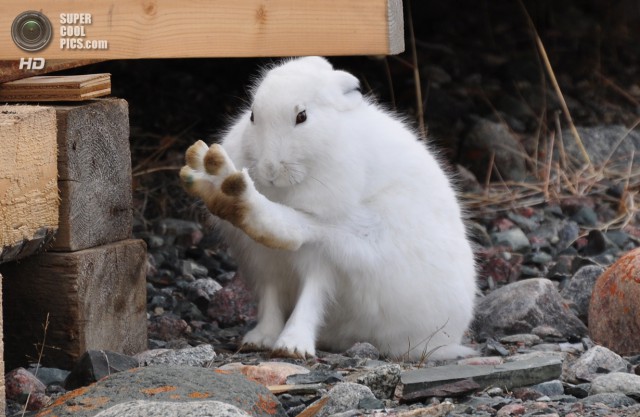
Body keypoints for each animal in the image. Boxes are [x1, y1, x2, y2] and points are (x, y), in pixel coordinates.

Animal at [180, 56, 477, 360]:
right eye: (252, 116)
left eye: (302, 116)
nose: (269, 169)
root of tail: (451, 337)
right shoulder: (267, 264)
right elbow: (271, 300)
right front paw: (260, 339)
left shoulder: (323, 259)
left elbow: (312, 295)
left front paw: (292, 347)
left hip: (365, 235)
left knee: (302, 230)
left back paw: (231, 192)